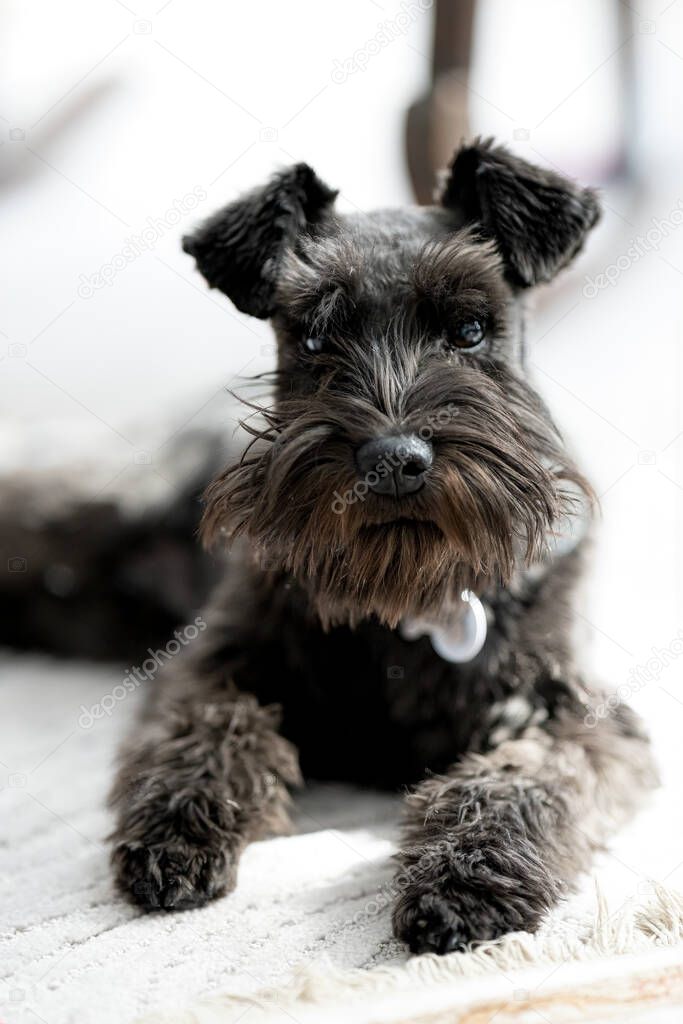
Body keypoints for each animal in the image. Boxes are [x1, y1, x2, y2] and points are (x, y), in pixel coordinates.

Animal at [109, 140, 659, 954]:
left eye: (469, 329)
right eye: (312, 336)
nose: (394, 460)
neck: (405, 605)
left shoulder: (580, 718)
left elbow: (519, 778)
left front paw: (465, 876)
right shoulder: (210, 662)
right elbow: (209, 724)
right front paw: (177, 826)